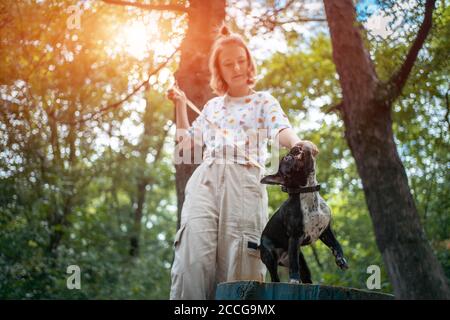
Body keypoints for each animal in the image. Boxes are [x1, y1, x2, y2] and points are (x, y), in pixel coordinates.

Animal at [256, 144, 348, 282]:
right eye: (286, 158)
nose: (295, 148)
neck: (308, 191)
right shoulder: (295, 237)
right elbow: (294, 264)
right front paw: (294, 279)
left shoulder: (325, 231)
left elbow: (336, 245)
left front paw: (341, 259)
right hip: (270, 256)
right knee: (275, 277)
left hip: (302, 261)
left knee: (306, 276)